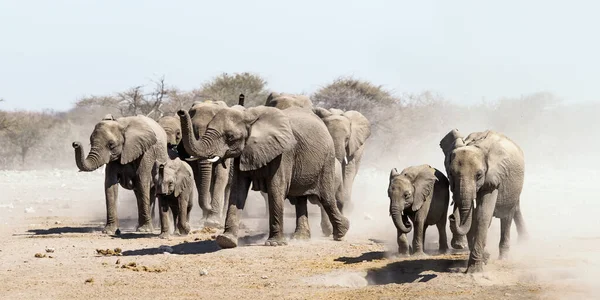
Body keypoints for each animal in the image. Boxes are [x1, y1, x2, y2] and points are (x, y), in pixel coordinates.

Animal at [176, 104, 350, 247]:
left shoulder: (284, 152)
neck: (249, 116)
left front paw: (274, 244)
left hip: (327, 160)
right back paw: (301, 238)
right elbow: (237, 191)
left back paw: (342, 232)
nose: (181, 111)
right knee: (301, 199)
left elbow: (276, 189)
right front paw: (226, 240)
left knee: (326, 198)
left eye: (230, 137)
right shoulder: (243, 153)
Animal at [438, 127, 528, 274]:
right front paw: (484, 258)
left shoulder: (493, 178)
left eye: (479, 175)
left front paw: (474, 270)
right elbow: (473, 216)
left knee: (507, 216)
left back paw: (503, 258)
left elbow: (482, 214)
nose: (451, 216)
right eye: (451, 174)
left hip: (513, 187)